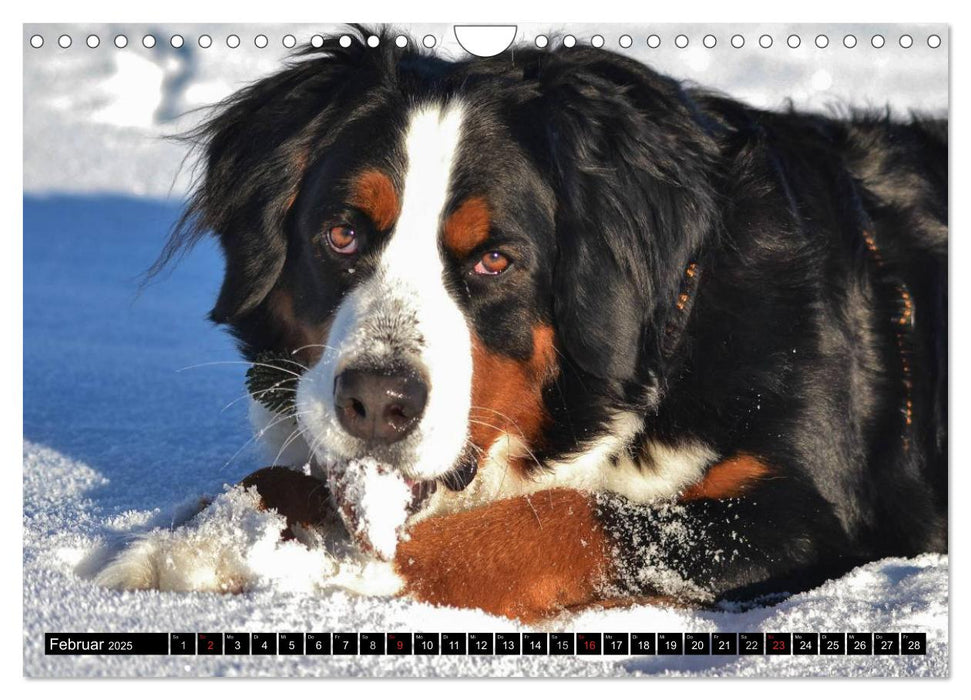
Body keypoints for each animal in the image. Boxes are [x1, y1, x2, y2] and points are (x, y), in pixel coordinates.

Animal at [135, 27, 940, 620]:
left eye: (495, 259)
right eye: (341, 235)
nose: (376, 401)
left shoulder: (804, 512)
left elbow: (564, 519)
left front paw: (355, 584)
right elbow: (273, 478)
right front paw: (194, 546)